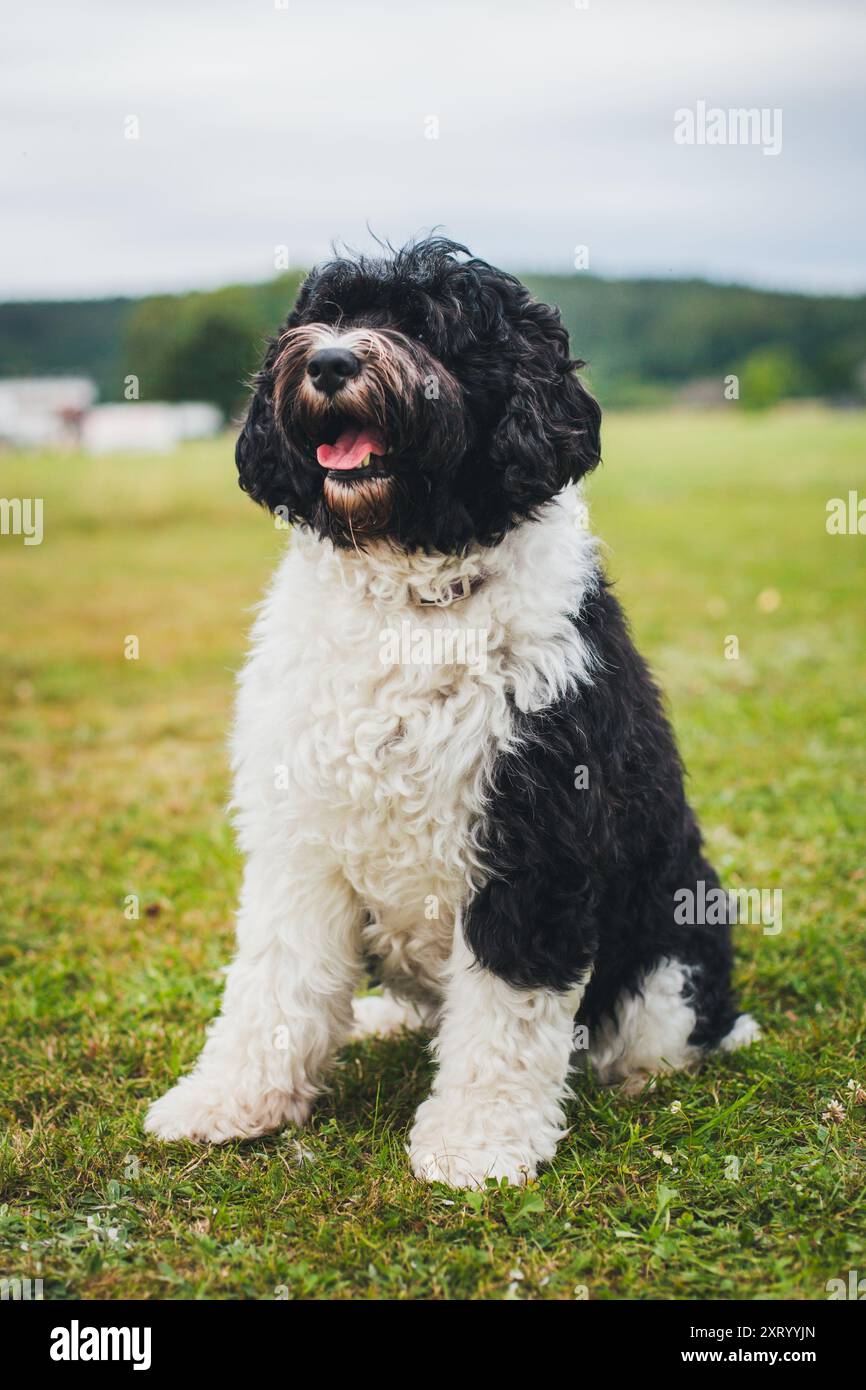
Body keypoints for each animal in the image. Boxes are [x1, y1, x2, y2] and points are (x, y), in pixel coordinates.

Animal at [145, 236, 761, 1184]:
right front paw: (232, 1100)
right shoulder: (300, 840)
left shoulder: (532, 846)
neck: (412, 595)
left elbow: (506, 1015)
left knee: (653, 1031)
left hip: (674, 942)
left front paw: (479, 1140)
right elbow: (275, 983)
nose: (330, 362)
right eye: (328, 314)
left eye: (432, 326)